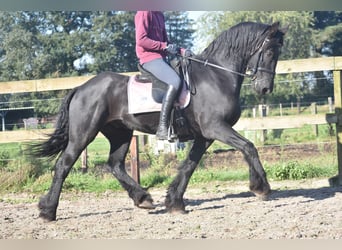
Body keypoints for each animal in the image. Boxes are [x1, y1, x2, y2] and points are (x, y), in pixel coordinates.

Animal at [34, 21, 286, 221]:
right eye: (270, 52)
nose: (265, 89)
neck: (217, 75)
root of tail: (80, 88)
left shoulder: (205, 135)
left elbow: (189, 165)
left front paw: (174, 202)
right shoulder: (215, 128)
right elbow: (249, 147)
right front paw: (261, 187)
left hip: (120, 133)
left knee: (115, 164)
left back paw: (142, 198)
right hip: (84, 133)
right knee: (64, 164)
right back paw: (48, 211)